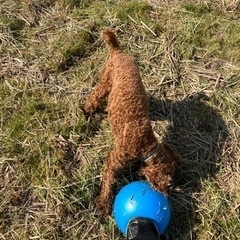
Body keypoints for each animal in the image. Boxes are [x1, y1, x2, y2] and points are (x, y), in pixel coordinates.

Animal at [83, 29, 179, 215]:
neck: (146, 144)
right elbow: (108, 180)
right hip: (105, 80)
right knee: (95, 95)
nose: (167, 190)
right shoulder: (114, 159)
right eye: (169, 179)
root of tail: (118, 52)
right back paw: (88, 109)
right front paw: (104, 203)